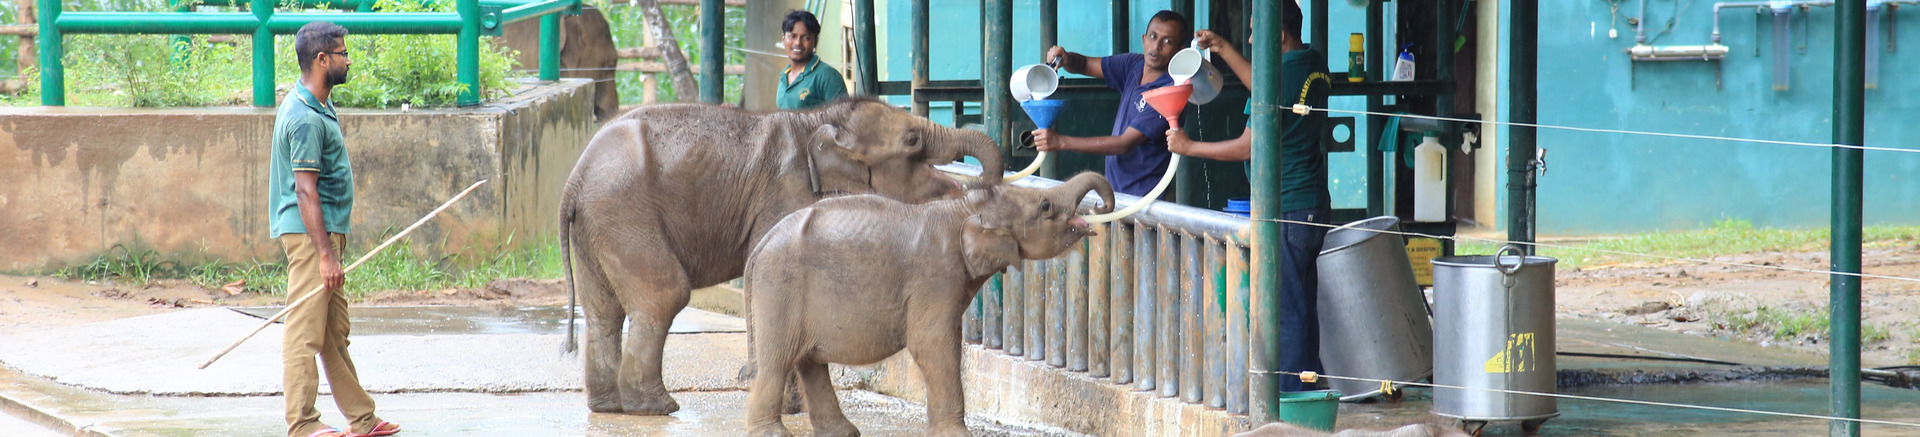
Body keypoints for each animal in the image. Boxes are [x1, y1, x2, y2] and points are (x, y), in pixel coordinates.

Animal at [741, 173, 1121, 437]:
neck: (965, 207)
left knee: (808, 362)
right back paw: (774, 434)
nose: (1100, 208)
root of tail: (759, 247)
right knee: (778, 360)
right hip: (780, 288)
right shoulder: (936, 275)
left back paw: (843, 433)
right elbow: (932, 343)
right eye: (1045, 207)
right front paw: (957, 435)